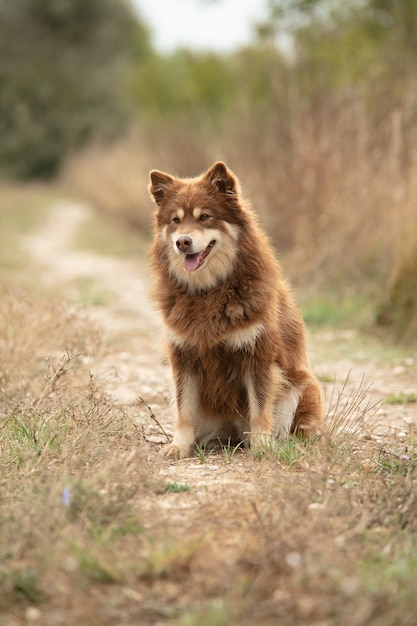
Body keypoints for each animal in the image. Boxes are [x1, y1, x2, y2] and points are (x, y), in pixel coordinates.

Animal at [148, 160, 324, 458]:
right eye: (175, 220)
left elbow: (260, 408)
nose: (182, 242)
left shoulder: (258, 355)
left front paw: (263, 445)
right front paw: (179, 446)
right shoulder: (184, 356)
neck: (210, 290)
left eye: (205, 217)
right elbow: (185, 410)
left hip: (302, 386)